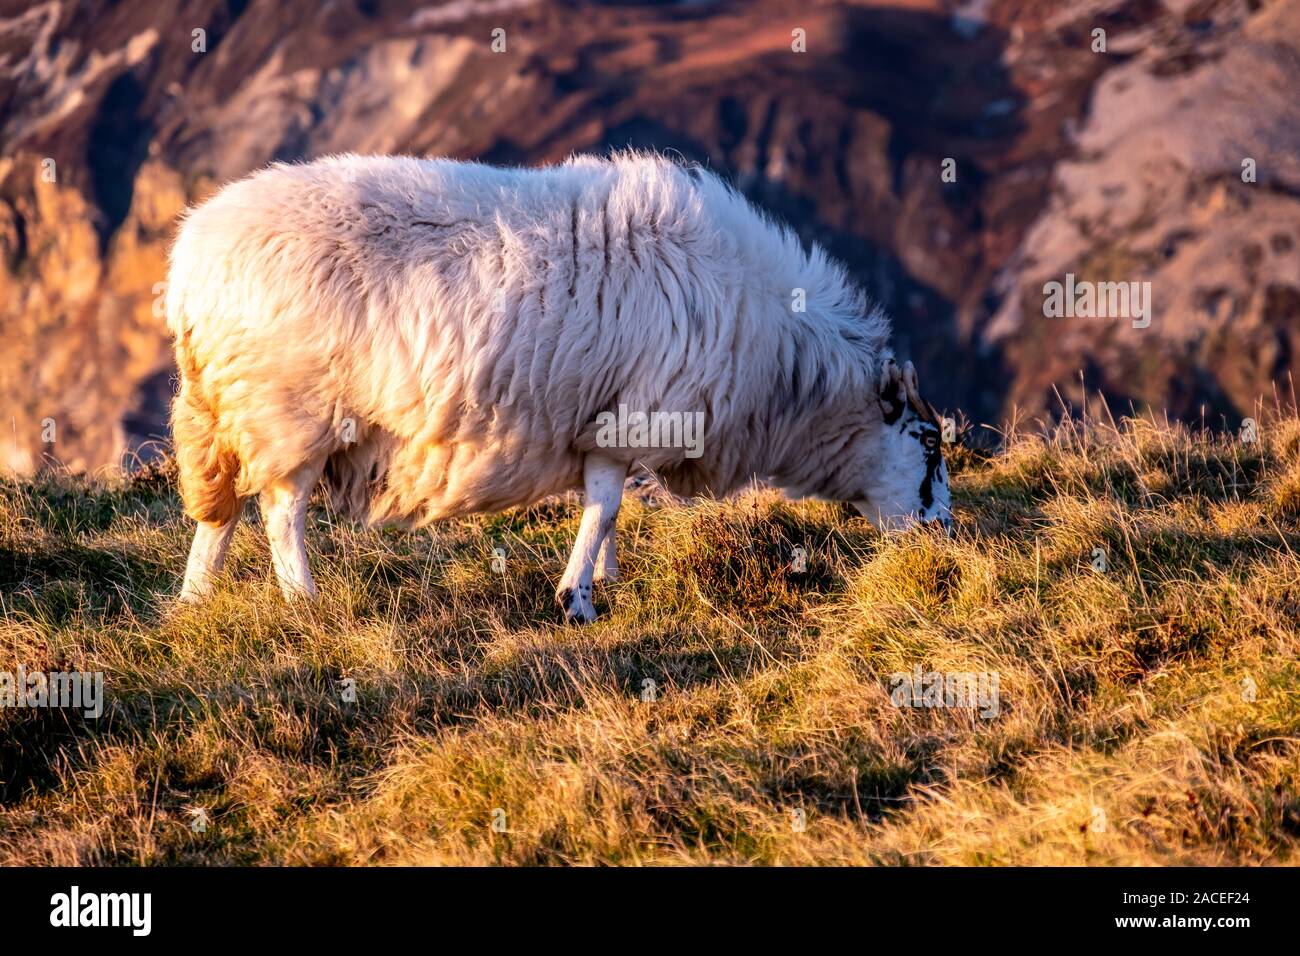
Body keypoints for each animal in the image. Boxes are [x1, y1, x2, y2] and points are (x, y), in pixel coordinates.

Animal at [167, 153, 951, 624]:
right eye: (927, 441)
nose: (946, 539)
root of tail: (189, 264)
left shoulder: (597, 424)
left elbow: (603, 507)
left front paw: (603, 579)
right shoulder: (629, 419)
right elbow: (605, 505)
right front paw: (577, 599)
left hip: (230, 409)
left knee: (222, 511)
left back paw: (196, 599)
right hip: (289, 409)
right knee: (281, 512)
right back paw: (302, 599)